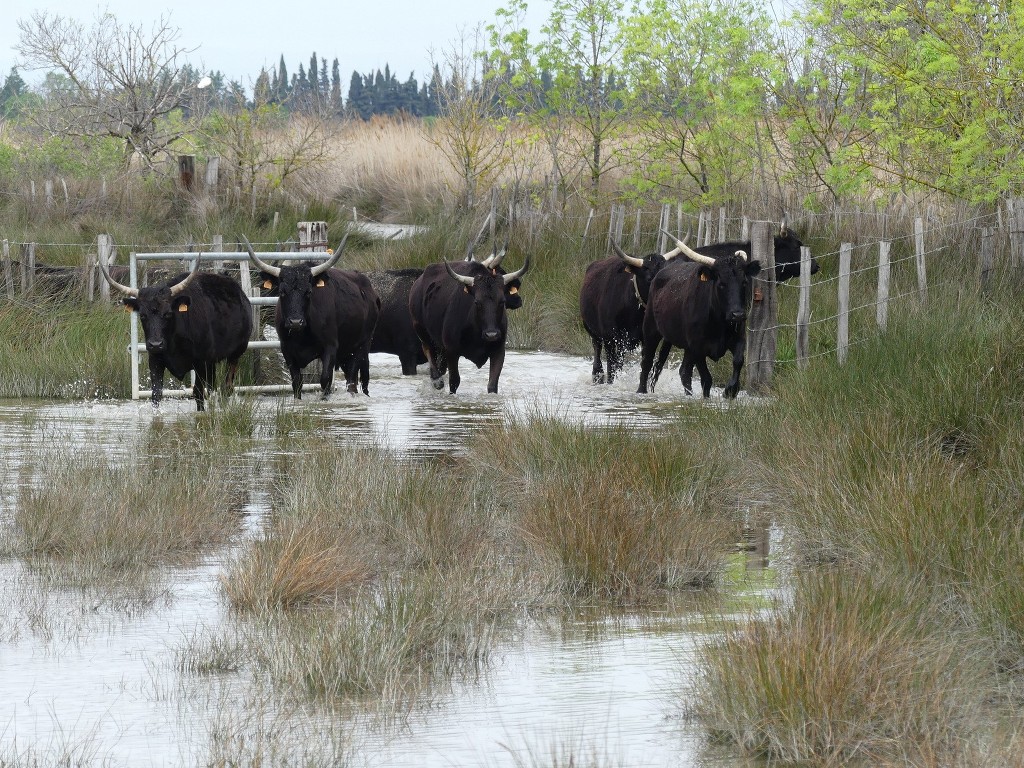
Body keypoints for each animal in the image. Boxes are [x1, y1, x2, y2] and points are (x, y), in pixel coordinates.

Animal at [96, 252, 252, 411]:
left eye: (168, 314)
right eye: (143, 315)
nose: (156, 344)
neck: (174, 342)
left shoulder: (201, 362)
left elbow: (198, 392)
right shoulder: (155, 360)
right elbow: (156, 394)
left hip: (236, 353)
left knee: (227, 385)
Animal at [242, 237, 380, 399]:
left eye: (308, 292)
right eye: (282, 292)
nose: (295, 322)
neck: (302, 333)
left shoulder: (330, 347)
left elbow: (325, 379)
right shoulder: (287, 350)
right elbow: (297, 382)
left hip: (362, 345)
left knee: (353, 378)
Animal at [407, 252, 532, 393]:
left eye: (502, 301)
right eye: (477, 302)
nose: (492, 335)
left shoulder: (499, 351)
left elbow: (492, 384)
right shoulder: (452, 351)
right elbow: (454, 381)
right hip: (421, 330)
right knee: (428, 350)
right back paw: (436, 380)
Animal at [638, 233, 761, 403]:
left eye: (744, 282)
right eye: (721, 283)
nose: (738, 314)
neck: (719, 323)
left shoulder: (739, 338)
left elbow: (738, 361)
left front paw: (730, 390)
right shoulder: (697, 347)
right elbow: (706, 378)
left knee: (683, 371)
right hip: (651, 330)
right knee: (647, 362)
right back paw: (641, 391)